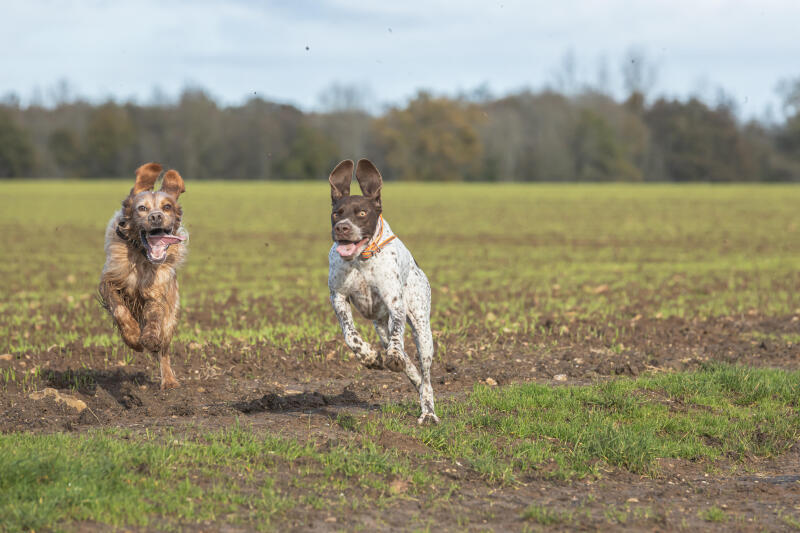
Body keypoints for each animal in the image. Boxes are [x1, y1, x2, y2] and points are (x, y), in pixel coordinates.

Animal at [98, 161, 188, 386]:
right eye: (142, 208)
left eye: (167, 207)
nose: (155, 216)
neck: (141, 259)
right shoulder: (108, 282)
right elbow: (120, 310)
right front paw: (133, 337)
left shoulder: (156, 292)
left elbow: (154, 318)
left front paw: (148, 338)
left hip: (171, 315)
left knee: (164, 350)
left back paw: (169, 381)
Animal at [324, 158, 438, 424]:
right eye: (336, 213)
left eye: (362, 213)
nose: (342, 228)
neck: (360, 259)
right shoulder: (339, 298)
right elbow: (351, 336)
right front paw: (369, 357)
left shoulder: (395, 303)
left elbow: (397, 339)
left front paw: (393, 356)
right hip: (380, 327)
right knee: (412, 370)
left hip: (422, 330)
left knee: (426, 377)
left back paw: (428, 411)